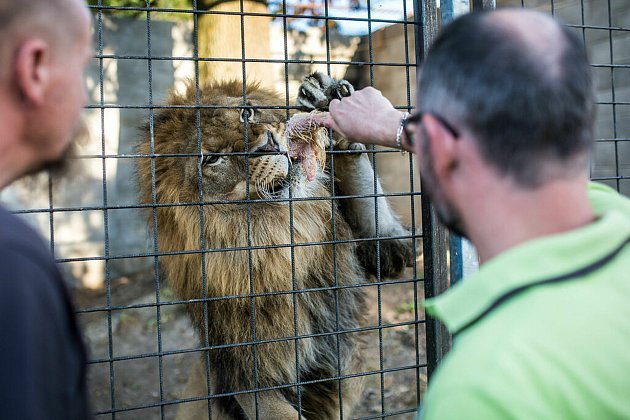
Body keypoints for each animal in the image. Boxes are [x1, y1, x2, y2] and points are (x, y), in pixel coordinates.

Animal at [136, 74, 414, 418]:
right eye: (212, 157)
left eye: (246, 113)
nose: (268, 144)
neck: (281, 234)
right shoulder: (247, 375)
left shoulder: (383, 248)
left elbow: (386, 237)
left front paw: (329, 102)